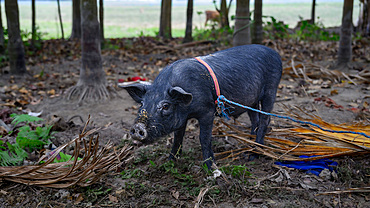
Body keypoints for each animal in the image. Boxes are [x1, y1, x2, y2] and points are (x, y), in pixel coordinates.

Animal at [120, 44, 280, 169]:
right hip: (251, 101)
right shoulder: (181, 119)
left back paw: (253, 155)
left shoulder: (207, 111)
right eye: (142, 104)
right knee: (255, 120)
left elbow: (204, 138)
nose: (138, 127)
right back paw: (248, 146)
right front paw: (170, 162)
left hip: (271, 89)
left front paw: (210, 167)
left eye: (165, 106)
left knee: (265, 120)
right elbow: (178, 137)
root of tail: (276, 53)